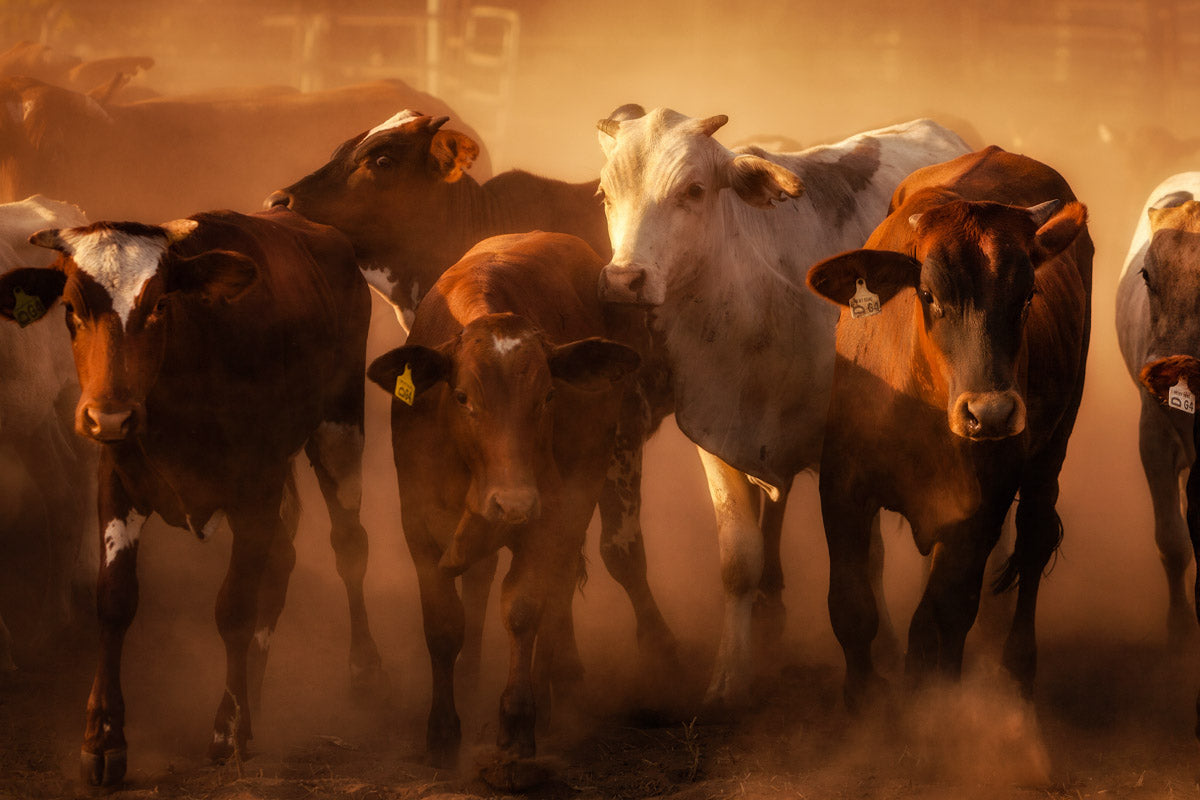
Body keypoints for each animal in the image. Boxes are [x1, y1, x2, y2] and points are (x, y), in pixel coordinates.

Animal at [0, 207, 383, 786]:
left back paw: (362, 671)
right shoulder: (116, 484)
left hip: (339, 425)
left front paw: (227, 731)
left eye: (160, 304)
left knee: (348, 544)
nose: (108, 416)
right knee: (284, 558)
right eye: (70, 308)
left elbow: (234, 608)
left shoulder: (255, 488)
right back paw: (258, 694)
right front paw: (103, 738)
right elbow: (114, 602)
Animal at [266, 109, 680, 687]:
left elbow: (613, 552)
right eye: (342, 148)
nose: (278, 201)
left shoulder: (619, 427)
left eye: (382, 159)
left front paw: (653, 652)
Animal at [365, 231, 638, 787]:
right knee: (481, 580)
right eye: (462, 397)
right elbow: (444, 626)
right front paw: (443, 732)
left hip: (579, 492)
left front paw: (516, 728)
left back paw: (556, 694)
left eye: (549, 395)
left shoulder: (548, 517)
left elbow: (523, 609)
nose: (511, 504)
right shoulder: (418, 526)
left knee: (556, 591)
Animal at [595, 108, 972, 705]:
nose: (623, 280)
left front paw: (884, 655)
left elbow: (866, 561)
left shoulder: (849, 452)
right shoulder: (718, 439)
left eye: (693, 190)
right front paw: (729, 677)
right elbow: (739, 562)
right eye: (605, 194)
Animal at [806, 146, 1091, 708]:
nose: (992, 413)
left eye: (1028, 296)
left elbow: (944, 612)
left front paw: (935, 702)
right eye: (930, 295)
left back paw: (1017, 669)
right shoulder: (842, 485)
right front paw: (862, 702)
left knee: (1033, 538)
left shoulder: (982, 503)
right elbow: (851, 606)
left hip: (1053, 446)